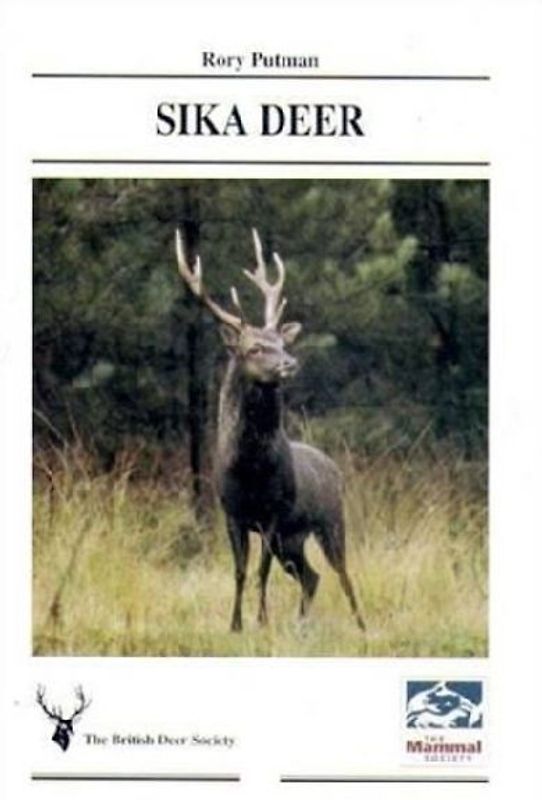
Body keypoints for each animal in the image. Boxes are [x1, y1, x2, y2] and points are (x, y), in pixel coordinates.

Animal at [175, 228, 365, 633]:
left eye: (280, 342)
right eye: (254, 348)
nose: (289, 362)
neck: (250, 469)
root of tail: (332, 466)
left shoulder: (273, 513)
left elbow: (260, 572)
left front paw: (261, 621)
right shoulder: (232, 513)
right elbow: (240, 572)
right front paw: (235, 624)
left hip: (330, 520)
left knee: (342, 573)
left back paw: (362, 625)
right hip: (291, 540)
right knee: (311, 576)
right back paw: (301, 624)